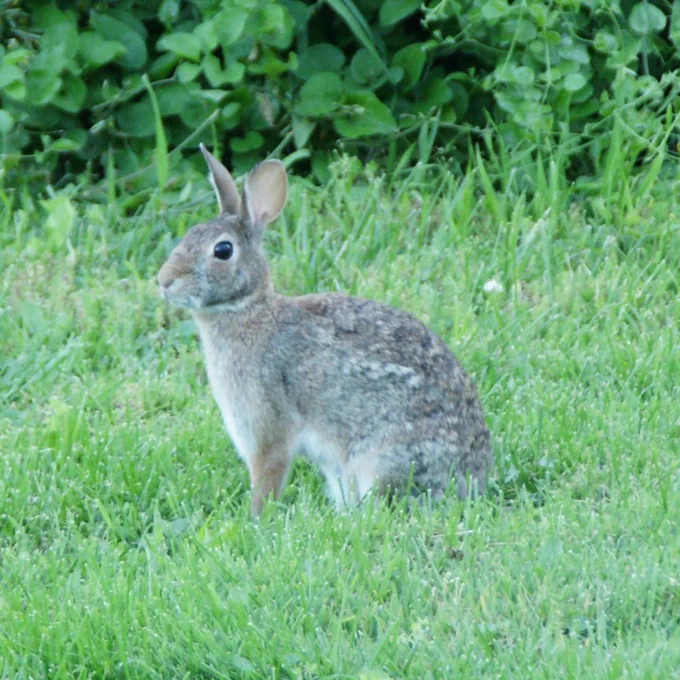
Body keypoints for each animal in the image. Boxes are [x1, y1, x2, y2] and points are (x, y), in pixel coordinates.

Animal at [157, 145, 492, 515]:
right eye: (189, 234)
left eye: (223, 250)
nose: (165, 280)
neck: (249, 308)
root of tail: (474, 480)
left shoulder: (267, 428)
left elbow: (268, 474)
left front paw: (256, 516)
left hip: (382, 457)